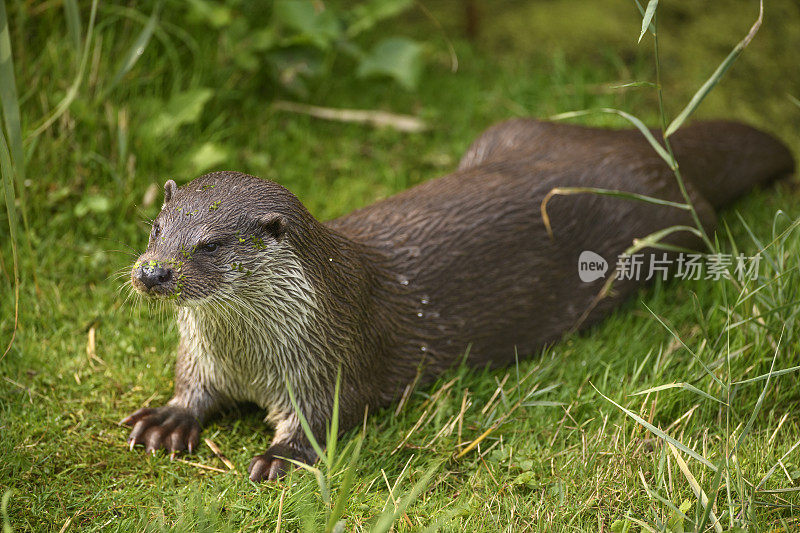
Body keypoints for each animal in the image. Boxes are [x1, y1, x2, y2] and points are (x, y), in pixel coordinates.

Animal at [123, 118, 792, 480]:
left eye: (208, 244)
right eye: (157, 228)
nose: (153, 273)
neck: (249, 358)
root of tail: (642, 144)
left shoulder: (333, 358)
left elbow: (327, 415)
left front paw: (282, 455)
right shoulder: (203, 356)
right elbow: (192, 387)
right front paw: (168, 418)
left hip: (665, 228)